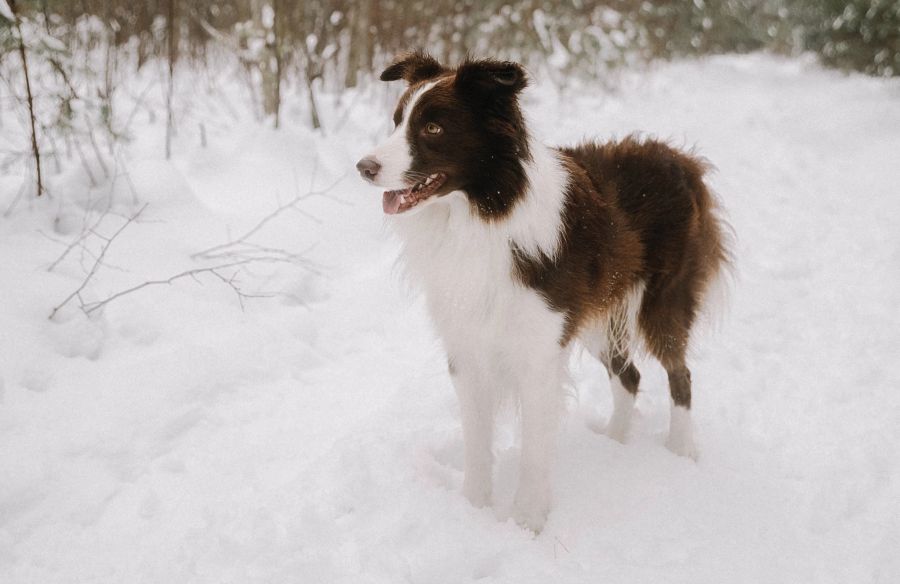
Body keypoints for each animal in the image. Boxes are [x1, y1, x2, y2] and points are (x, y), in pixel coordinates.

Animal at [356, 52, 728, 532]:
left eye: (433, 128)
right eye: (396, 121)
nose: (363, 168)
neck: (482, 214)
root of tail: (680, 159)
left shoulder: (537, 351)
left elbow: (534, 447)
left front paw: (527, 523)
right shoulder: (467, 346)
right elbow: (476, 440)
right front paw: (473, 511)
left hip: (661, 303)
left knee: (679, 374)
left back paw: (680, 451)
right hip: (595, 318)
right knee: (629, 375)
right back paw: (614, 443)